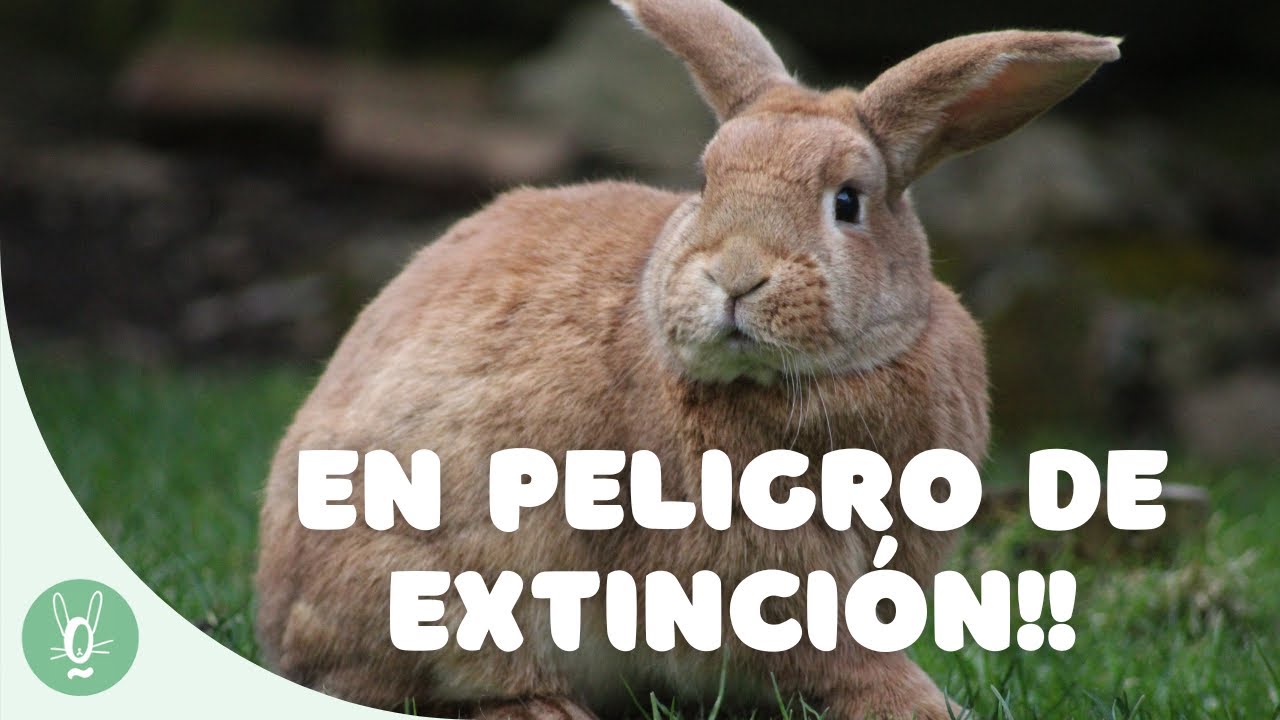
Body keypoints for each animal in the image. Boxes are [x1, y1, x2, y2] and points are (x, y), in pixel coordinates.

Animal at [255, 1, 1119, 718]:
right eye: (705, 182)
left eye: (847, 201)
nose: (735, 275)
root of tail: (277, 609)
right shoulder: (763, 585)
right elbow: (839, 661)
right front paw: (927, 705)